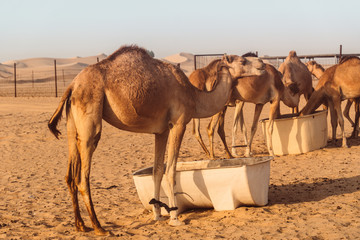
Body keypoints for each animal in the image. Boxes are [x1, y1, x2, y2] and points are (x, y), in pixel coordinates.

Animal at [47, 45, 264, 234]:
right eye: (243, 60)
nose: (262, 63)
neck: (194, 96)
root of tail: (72, 85)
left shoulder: (161, 131)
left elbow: (157, 170)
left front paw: (158, 214)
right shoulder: (178, 123)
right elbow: (171, 170)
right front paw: (175, 218)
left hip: (72, 123)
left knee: (70, 175)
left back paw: (80, 225)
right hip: (91, 117)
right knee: (83, 177)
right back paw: (99, 227)